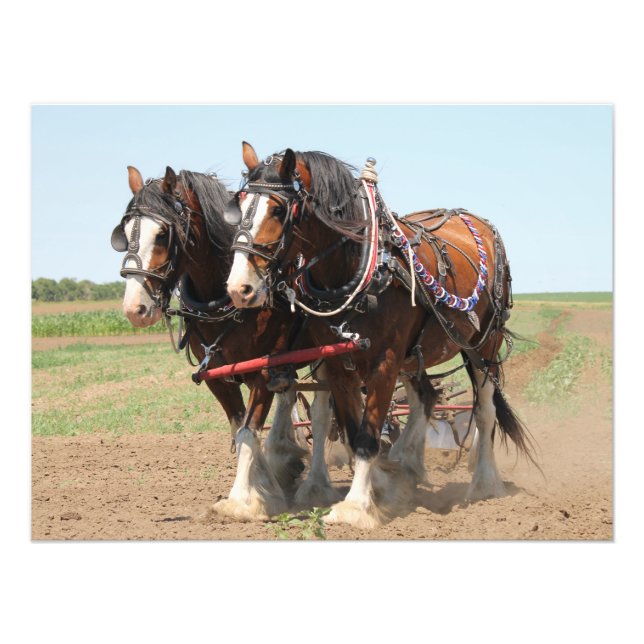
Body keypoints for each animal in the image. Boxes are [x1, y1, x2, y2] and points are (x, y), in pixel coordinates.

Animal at [112, 165, 340, 520]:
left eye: (162, 234)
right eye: (124, 232)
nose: (135, 309)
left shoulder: (262, 371)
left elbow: (248, 431)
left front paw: (243, 500)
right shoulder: (217, 377)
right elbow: (239, 429)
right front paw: (266, 482)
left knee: (320, 411)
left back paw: (315, 485)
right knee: (290, 398)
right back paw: (285, 459)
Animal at [225, 142, 538, 529]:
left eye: (279, 209)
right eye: (239, 204)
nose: (239, 288)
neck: (359, 267)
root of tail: (475, 220)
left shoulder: (385, 361)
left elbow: (368, 435)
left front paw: (356, 507)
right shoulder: (338, 364)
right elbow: (351, 429)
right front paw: (377, 490)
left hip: (483, 346)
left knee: (484, 410)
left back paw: (483, 483)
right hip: (417, 353)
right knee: (425, 398)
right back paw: (406, 465)